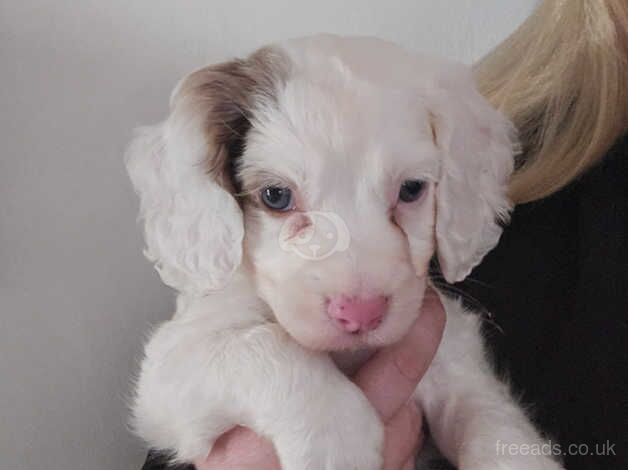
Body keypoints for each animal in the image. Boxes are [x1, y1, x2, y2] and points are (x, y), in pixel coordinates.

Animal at [126, 35, 564, 470]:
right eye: (276, 196)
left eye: (411, 189)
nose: (361, 314)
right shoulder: (169, 369)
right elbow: (262, 345)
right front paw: (336, 437)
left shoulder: (453, 352)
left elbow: (489, 416)